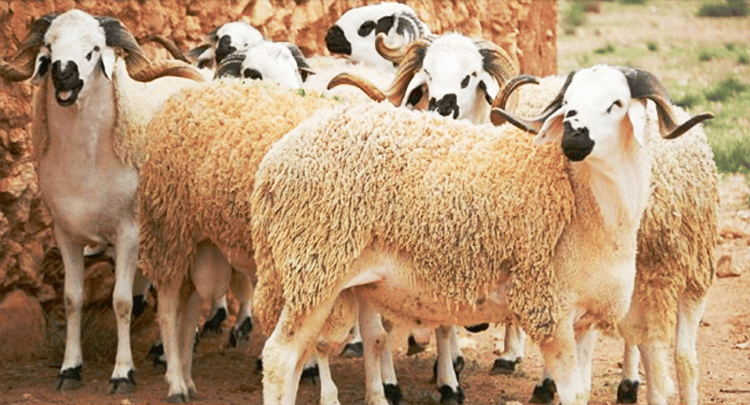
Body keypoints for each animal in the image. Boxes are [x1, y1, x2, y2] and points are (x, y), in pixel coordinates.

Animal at [0, 9, 203, 393]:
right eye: (48, 46)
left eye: (94, 50)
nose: (62, 72)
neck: (87, 164)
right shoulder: (65, 233)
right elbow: (72, 299)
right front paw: (70, 369)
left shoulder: (129, 233)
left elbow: (121, 302)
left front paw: (123, 373)